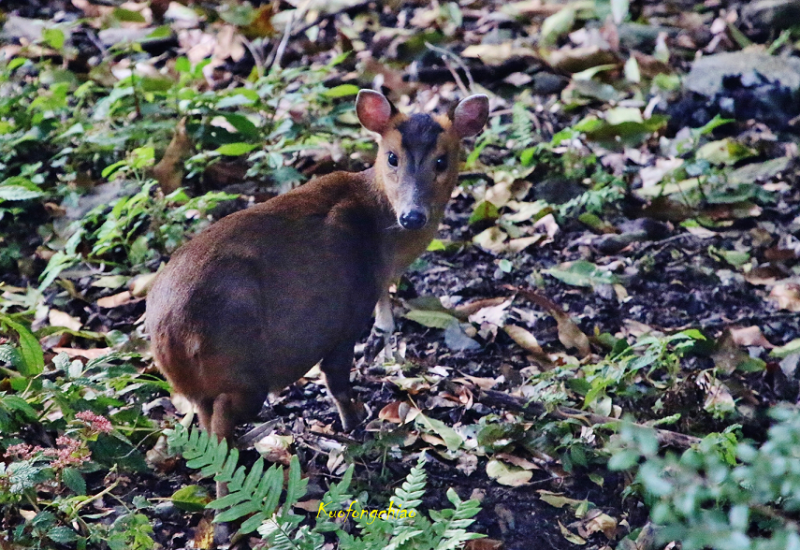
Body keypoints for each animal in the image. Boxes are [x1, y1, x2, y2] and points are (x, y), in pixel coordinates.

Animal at [147, 90, 490, 448]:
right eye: (392, 157)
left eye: (441, 161)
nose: (412, 216)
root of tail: (171, 334)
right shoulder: (348, 313)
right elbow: (335, 377)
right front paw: (353, 423)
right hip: (241, 366)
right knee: (223, 422)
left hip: (198, 385)